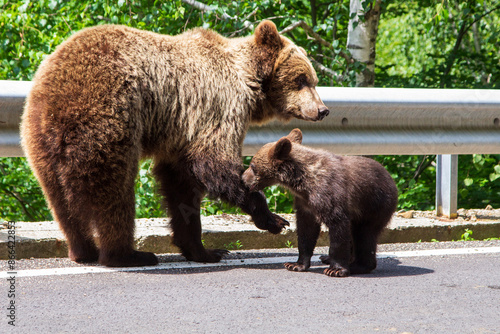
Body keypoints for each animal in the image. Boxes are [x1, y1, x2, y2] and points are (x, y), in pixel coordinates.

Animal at [21, 20, 328, 266]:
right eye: (301, 79)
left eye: (313, 79)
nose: (322, 110)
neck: (248, 81)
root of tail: (50, 99)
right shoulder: (217, 105)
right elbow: (214, 165)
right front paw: (273, 219)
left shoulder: (180, 135)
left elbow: (181, 185)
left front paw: (204, 250)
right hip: (106, 120)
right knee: (113, 191)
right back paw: (127, 255)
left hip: (40, 144)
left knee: (62, 202)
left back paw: (82, 250)